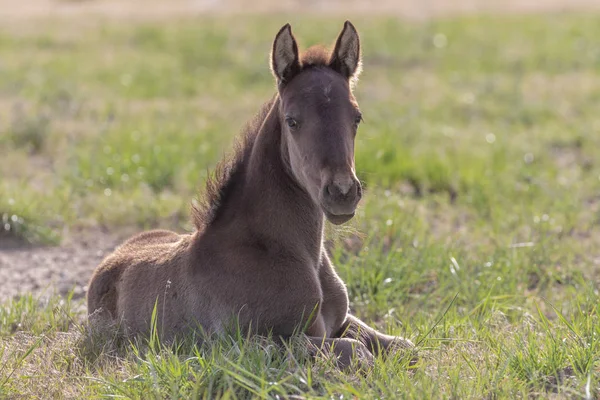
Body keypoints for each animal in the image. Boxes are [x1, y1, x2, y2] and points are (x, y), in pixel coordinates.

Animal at [86, 20, 414, 368]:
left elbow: (404, 346)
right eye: (292, 121)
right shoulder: (248, 342)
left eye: (357, 117)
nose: (342, 192)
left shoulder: (341, 320)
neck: (285, 250)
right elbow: (355, 350)